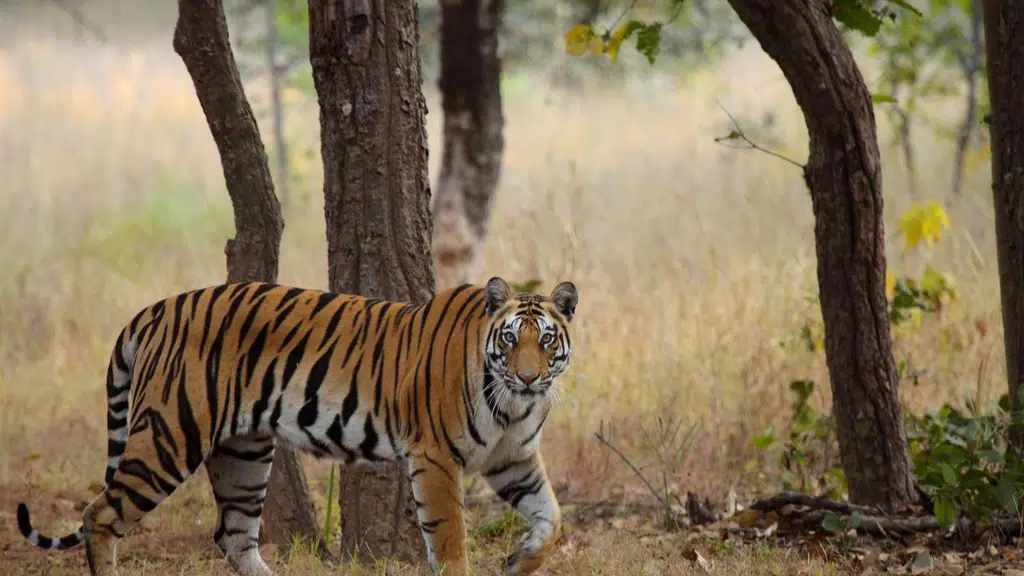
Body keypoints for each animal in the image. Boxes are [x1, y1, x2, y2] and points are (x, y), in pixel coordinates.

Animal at [15, 276, 578, 576]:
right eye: (510, 339)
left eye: (547, 340)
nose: (529, 376)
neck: (515, 406)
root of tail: (155, 309)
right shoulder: (435, 457)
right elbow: (450, 538)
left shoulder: (513, 459)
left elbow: (551, 517)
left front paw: (521, 559)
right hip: (169, 435)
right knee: (100, 514)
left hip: (243, 453)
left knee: (234, 536)